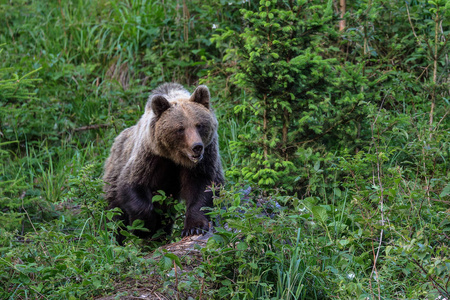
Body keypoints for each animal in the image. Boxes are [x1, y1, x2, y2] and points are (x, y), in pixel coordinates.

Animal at [104, 82, 224, 244]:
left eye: (199, 125)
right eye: (180, 128)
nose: (197, 147)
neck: (175, 157)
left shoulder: (205, 158)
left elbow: (203, 186)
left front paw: (194, 227)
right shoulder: (150, 156)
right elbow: (132, 184)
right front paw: (145, 227)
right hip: (114, 171)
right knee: (115, 215)